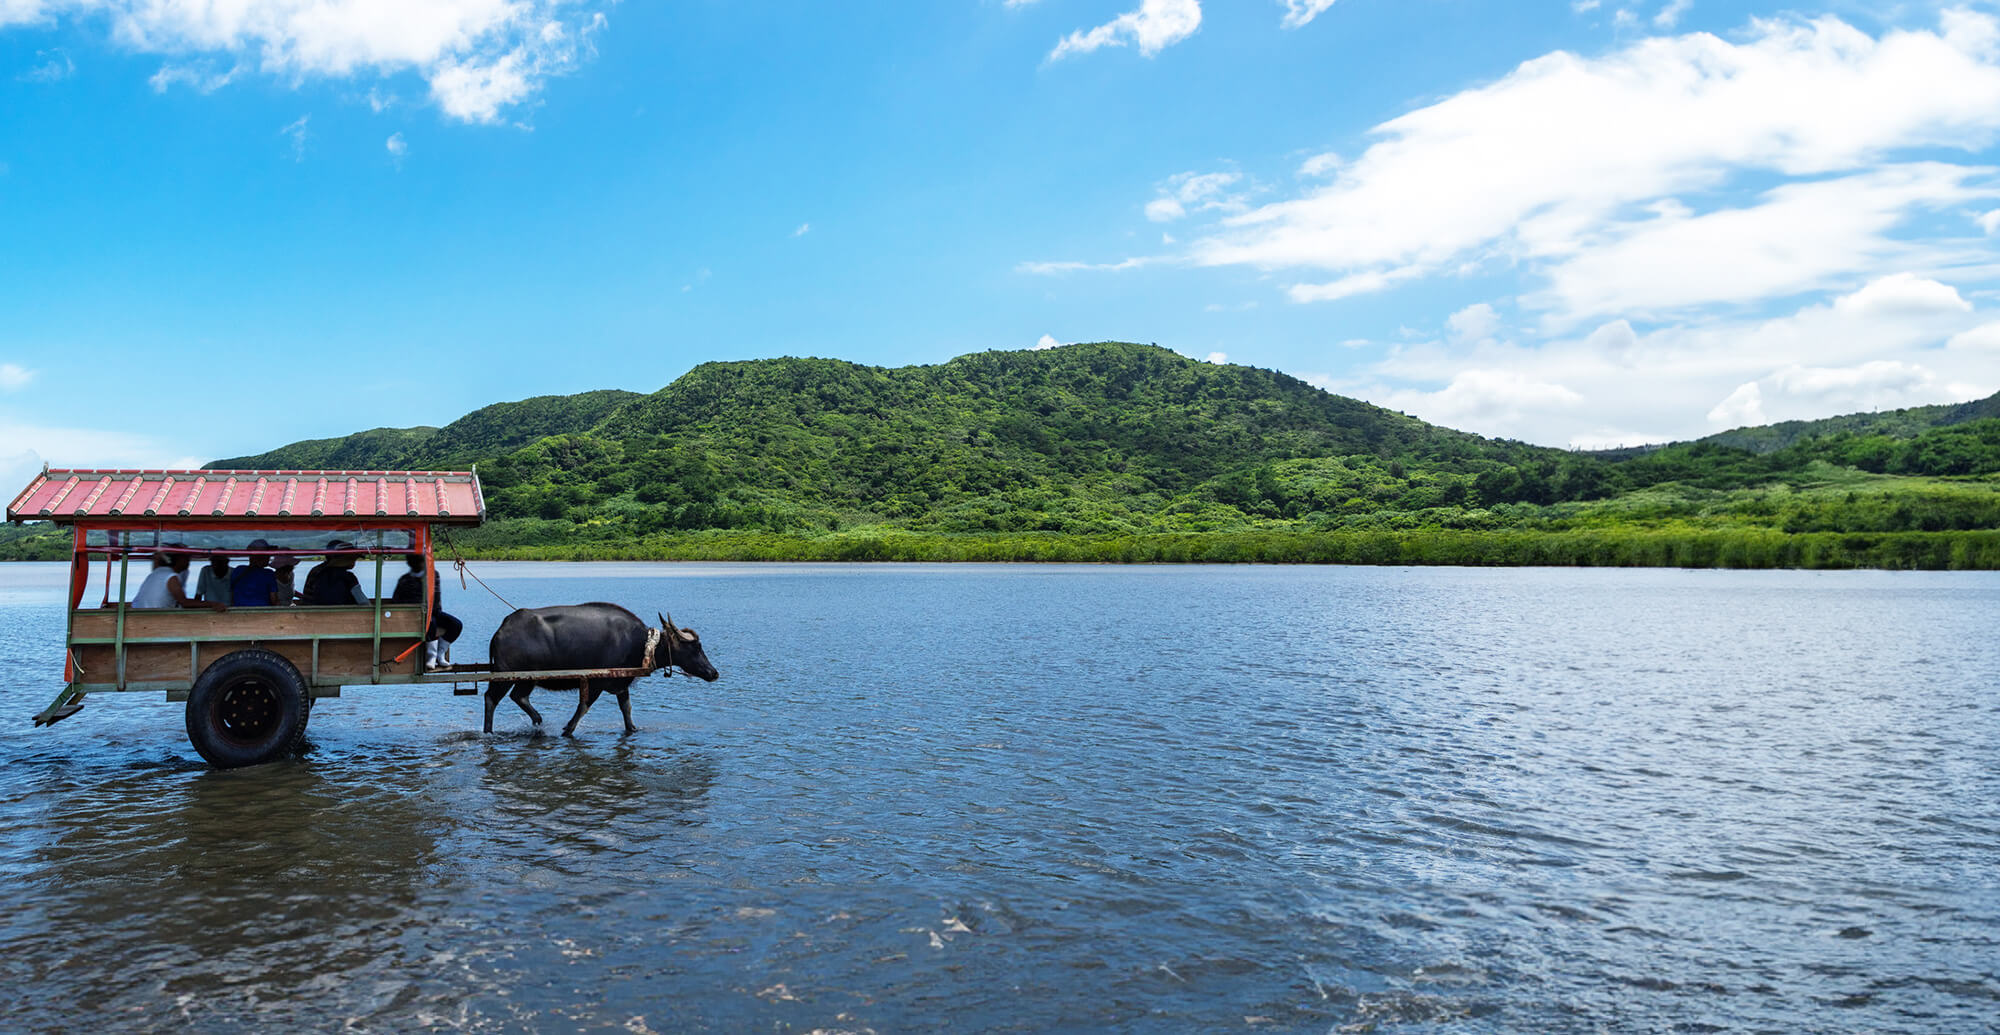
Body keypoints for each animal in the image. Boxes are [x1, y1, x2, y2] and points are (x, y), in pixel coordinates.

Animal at [482, 603, 720, 743]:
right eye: (695, 647)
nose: (714, 673)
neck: (638, 643)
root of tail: (500, 631)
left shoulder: (621, 684)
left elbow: (627, 710)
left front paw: (633, 729)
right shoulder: (595, 682)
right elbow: (583, 708)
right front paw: (567, 729)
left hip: (526, 679)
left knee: (518, 696)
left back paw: (538, 720)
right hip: (506, 677)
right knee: (491, 698)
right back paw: (489, 731)